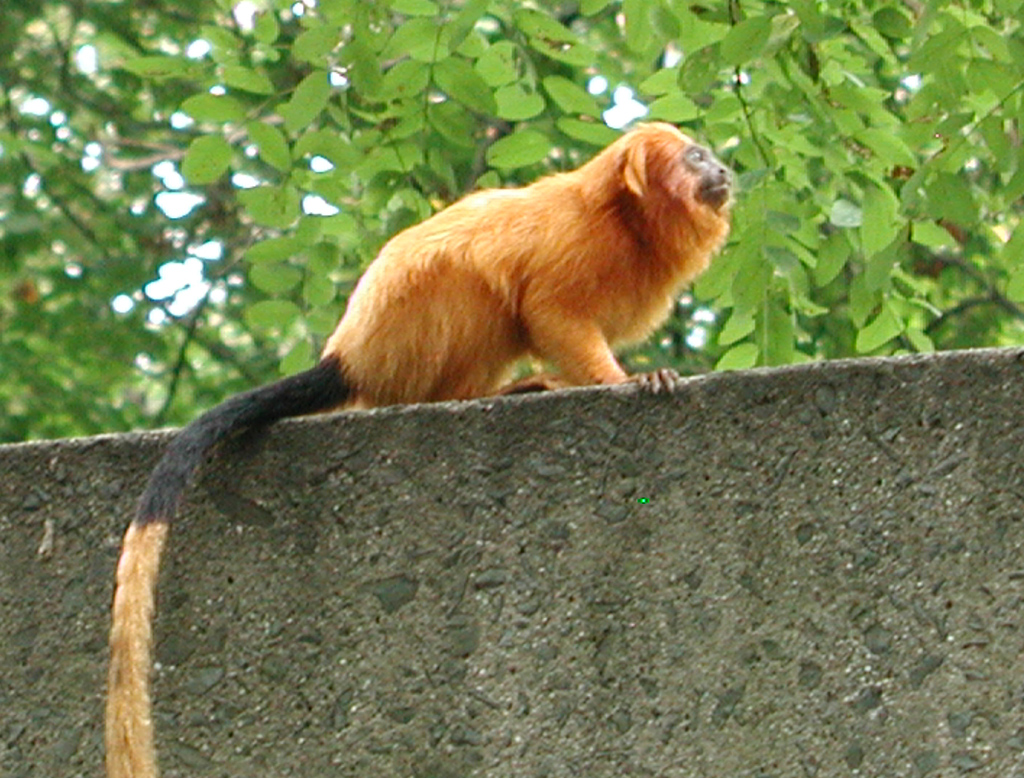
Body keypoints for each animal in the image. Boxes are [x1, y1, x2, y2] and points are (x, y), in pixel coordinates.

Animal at [105, 122, 729, 778]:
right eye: (695, 157)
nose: (721, 170)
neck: (624, 221)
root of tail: (351, 356)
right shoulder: (571, 244)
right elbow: (549, 312)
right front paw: (626, 380)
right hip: (415, 333)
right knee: (477, 287)